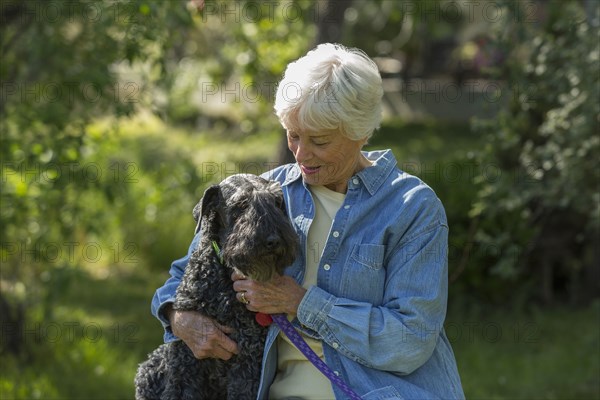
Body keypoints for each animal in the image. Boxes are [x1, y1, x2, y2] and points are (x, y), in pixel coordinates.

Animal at [134, 174, 298, 400]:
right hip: (152, 368)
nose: (273, 240)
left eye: (276, 202)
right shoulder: (187, 354)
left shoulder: (247, 359)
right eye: (241, 204)